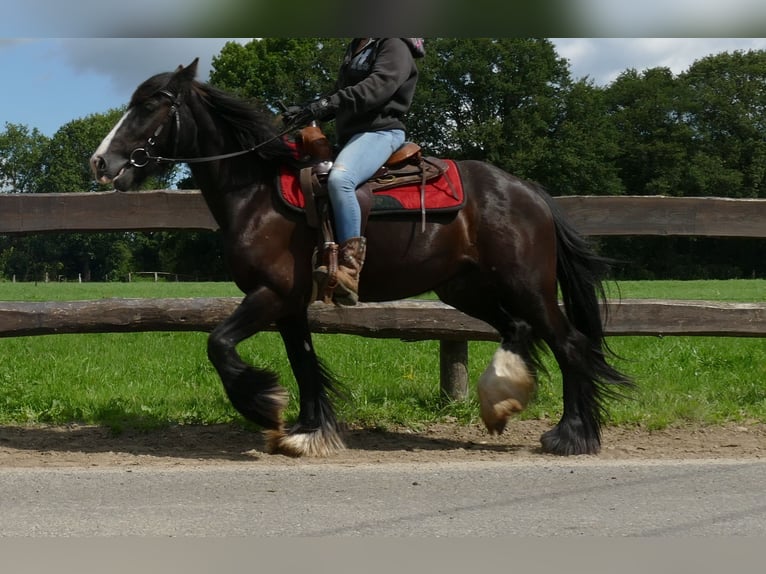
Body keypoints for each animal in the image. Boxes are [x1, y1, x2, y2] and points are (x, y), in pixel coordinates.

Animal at [90, 59, 632, 460]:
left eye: (149, 105)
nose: (101, 162)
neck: (257, 194)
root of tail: (529, 192)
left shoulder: (270, 295)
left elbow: (219, 344)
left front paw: (265, 405)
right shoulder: (289, 304)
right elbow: (303, 361)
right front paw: (308, 431)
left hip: (528, 286)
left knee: (569, 344)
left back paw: (573, 435)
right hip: (465, 288)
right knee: (518, 331)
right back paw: (501, 405)